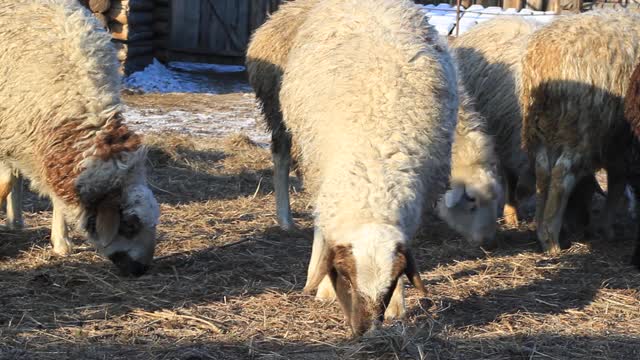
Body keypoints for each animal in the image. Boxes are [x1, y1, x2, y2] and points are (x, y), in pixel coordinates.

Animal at [0, 0, 160, 276]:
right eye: (129, 225)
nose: (141, 269)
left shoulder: (42, 146)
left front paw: (61, 242)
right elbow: (6, 181)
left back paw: (15, 221)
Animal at [520, 9, 640, 255]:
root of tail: (546, 60)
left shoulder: (617, 143)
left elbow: (616, 182)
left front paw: (606, 228)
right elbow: (617, 184)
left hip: (542, 128)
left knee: (542, 171)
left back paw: (541, 230)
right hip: (580, 129)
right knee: (561, 175)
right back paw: (551, 239)